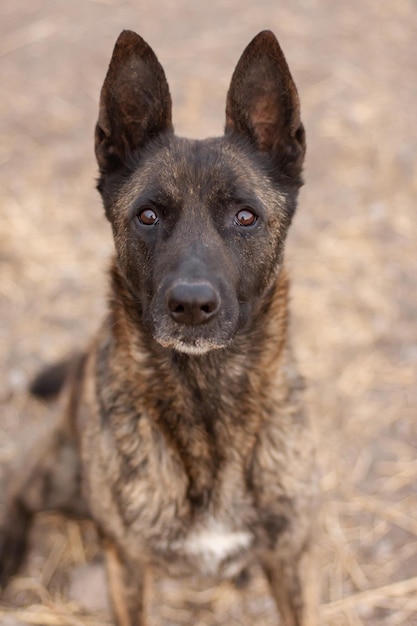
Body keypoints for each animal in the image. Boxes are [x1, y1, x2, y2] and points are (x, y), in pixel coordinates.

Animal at [0, 29, 318, 624]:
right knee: (19, 481)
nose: (191, 305)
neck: (207, 399)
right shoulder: (126, 564)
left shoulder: (290, 560)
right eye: (147, 215)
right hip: (62, 470)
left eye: (245, 216)